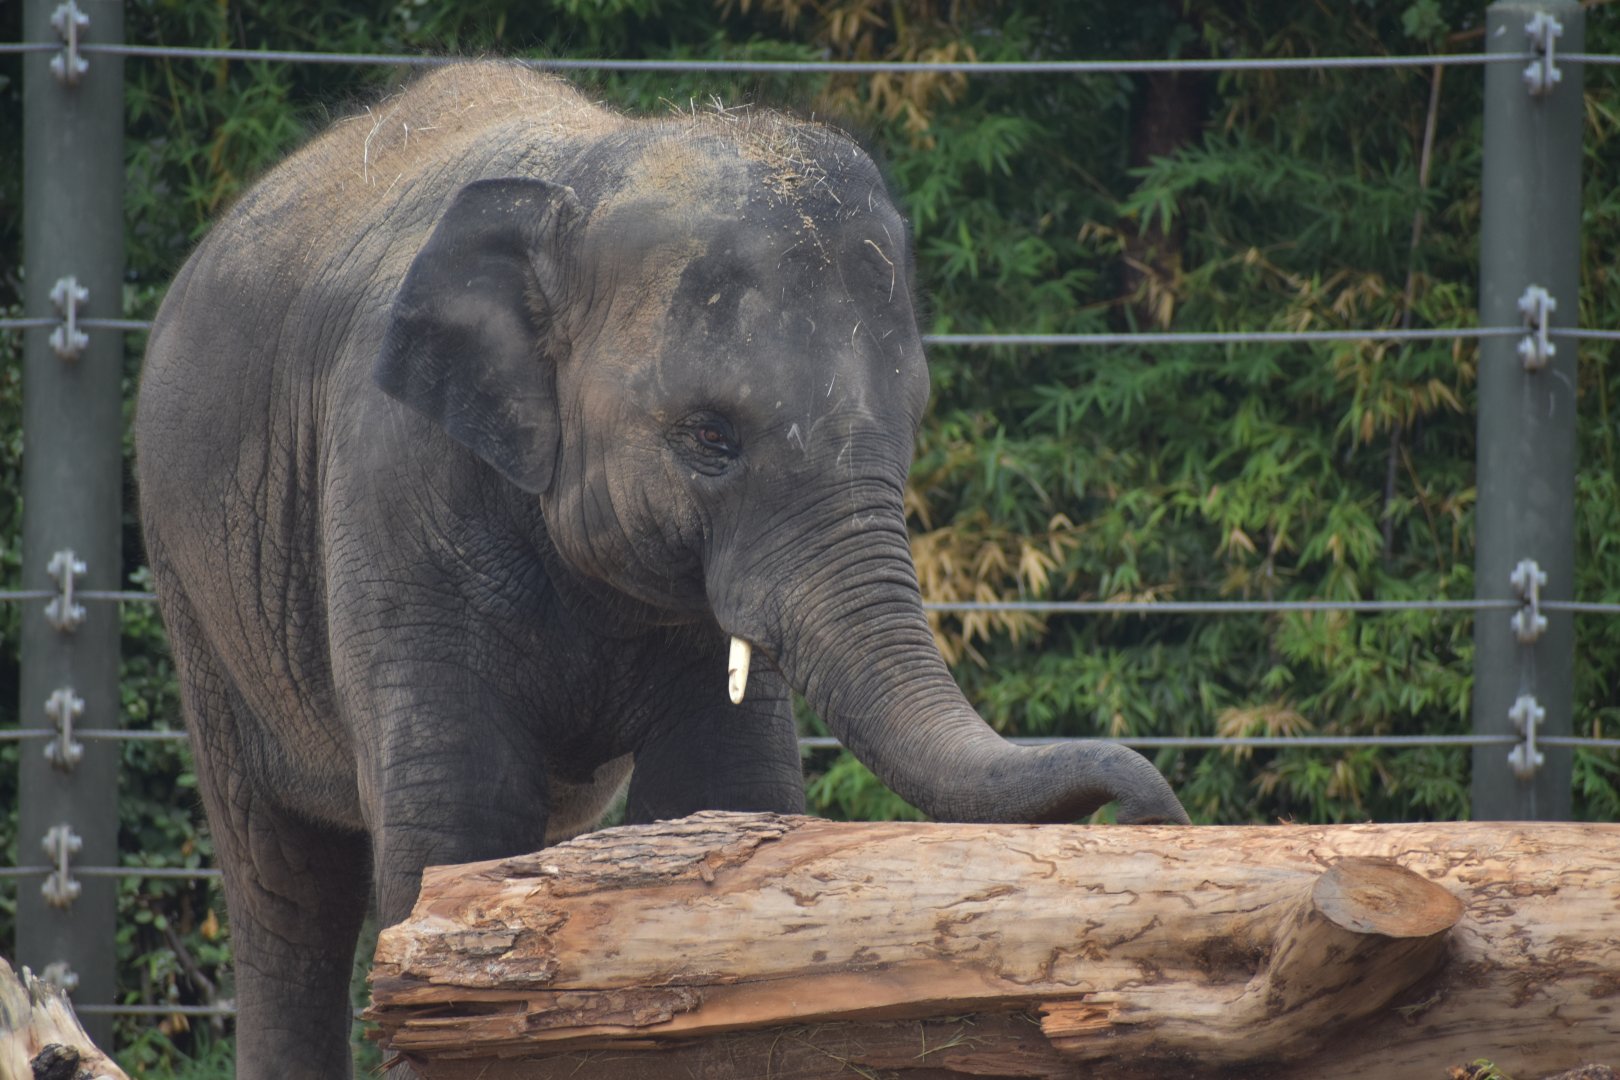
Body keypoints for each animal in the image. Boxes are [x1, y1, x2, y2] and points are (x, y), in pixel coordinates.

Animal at [134, 62, 1188, 1078]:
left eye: (911, 427)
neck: (584, 175)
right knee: (283, 883)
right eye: (710, 437)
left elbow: (721, 793)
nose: (1150, 814)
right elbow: (454, 829)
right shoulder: (393, 492)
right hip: (196, 593)